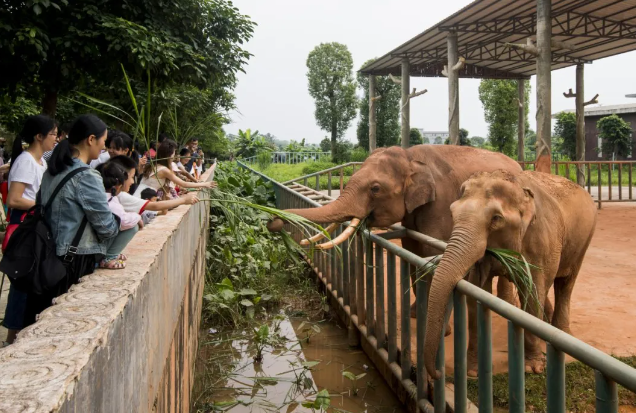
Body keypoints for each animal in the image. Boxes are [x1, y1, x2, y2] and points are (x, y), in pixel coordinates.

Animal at [266, 145, 524, 316]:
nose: (272, 221)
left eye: (375, 189)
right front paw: (415, 314)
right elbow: (413, 252)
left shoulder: (440, 203)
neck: (410, 157)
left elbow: (431, 252)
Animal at [422, 169, 596, 378]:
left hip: (583, 240)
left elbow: (532, 292)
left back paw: (562, 334)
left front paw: (532, 368)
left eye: (496, 218)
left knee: (565, 284)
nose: (439, 373)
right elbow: (477, 296)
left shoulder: (542, 241)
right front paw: (473, 371)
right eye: (451, 212)